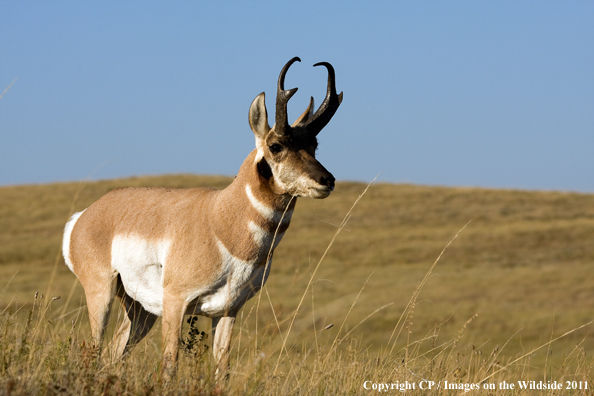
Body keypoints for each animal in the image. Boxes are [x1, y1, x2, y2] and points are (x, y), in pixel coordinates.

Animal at [61, 57, 340, 376]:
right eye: (276, 146)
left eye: (314, 145)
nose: (327, 180)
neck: (220, 220)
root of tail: (85, 215)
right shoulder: (175, 302)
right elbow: (170, 364)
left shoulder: (228, 310)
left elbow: (222, 369)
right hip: (102, 292)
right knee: (94, 350)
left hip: (140, 310)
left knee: (112, 353)